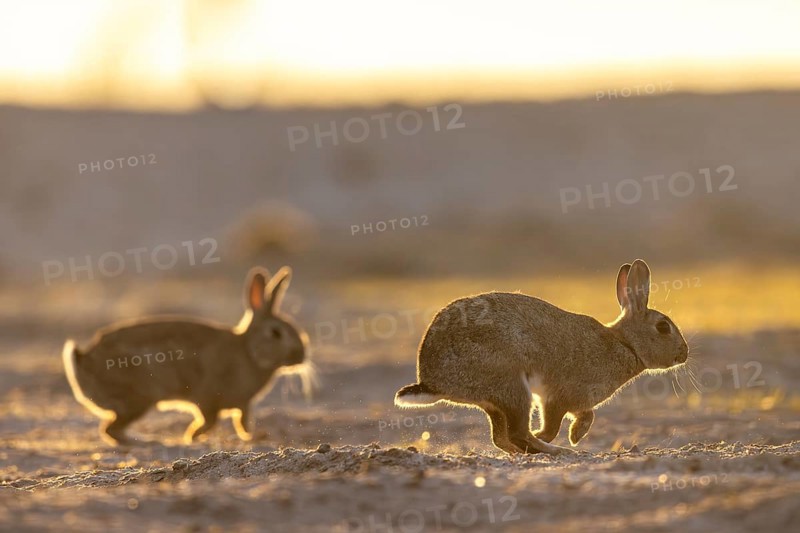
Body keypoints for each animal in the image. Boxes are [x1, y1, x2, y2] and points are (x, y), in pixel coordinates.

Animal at [63, 266, 313, 446]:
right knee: (110, 430)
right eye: (276, 333)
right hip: (139, 398)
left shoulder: (243, 405)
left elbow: (242, 422)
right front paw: (191, 436)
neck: (249, 352)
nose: (301, 356)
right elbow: (209, 421)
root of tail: (83, 362)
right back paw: (146, 441)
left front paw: (252, 437)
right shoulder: (207, 397)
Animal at [395, 259, 689, 455]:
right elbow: (552, 425)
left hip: (496, 400)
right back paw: (556, 451)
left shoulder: (577, 402)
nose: (684, 354)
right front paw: (563, 439)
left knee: (501, 437)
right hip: (512, 386)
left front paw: (576, 435)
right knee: (516, 433)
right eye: (663, 327)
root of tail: (431, 381)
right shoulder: (557, 396)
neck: (625, 344)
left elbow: (587, 415)